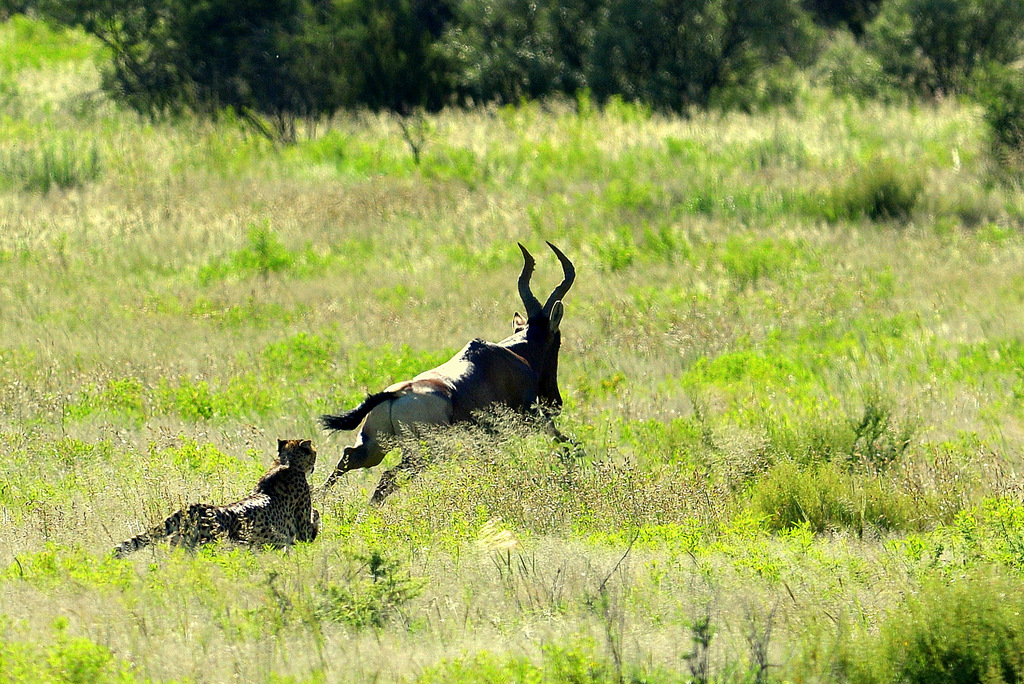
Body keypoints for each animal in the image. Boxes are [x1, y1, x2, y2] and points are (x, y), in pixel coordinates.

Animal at [112, 440, 321, 557]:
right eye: (314, 453)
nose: (314, 466)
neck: (287, 463)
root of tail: (194, 508)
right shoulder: (302, 531)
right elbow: (314, 518)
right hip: (208, 546)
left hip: (180, 547)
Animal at [319, 240, 577, 501]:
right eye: (557, 341)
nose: (555, 402)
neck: (506, 355)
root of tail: (396, 394)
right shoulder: (530, 421)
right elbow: (566, 442)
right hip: (420, 455)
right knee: (388, 477)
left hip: (375, 446)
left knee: (350, 458)